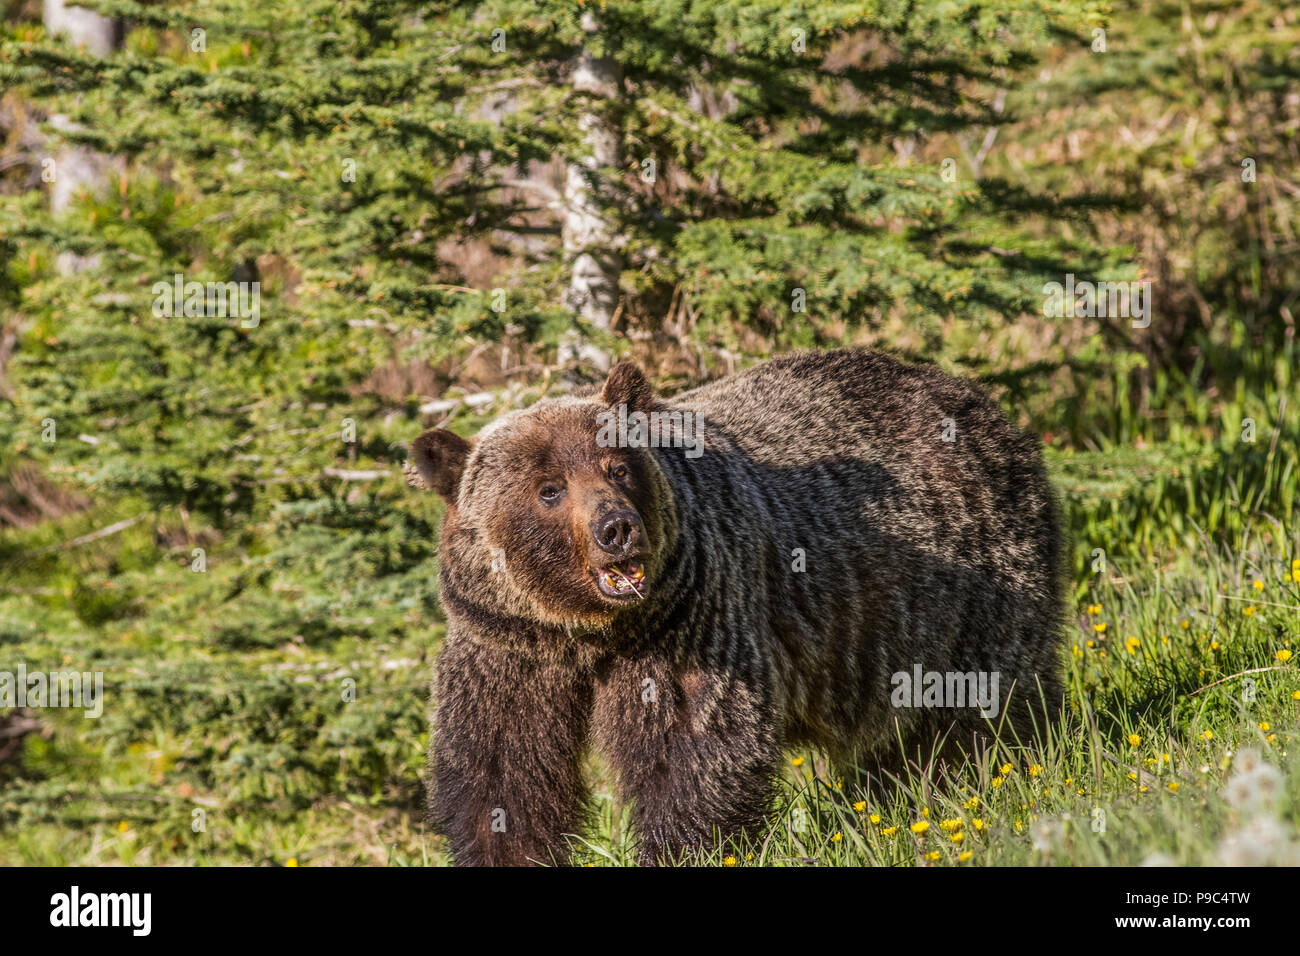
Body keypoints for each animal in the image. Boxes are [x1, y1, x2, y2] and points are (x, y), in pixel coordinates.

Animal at [408, 348, 1066, 868]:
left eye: (617, 466)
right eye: (548, 489)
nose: (617, 528)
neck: (587, 632)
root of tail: (979, 399)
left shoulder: (689, 620)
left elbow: (694, 747)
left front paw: (683, 847)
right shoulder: (508, 646)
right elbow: (502, 769)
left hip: (969, 587)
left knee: (984, 703)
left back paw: (1003, 772)